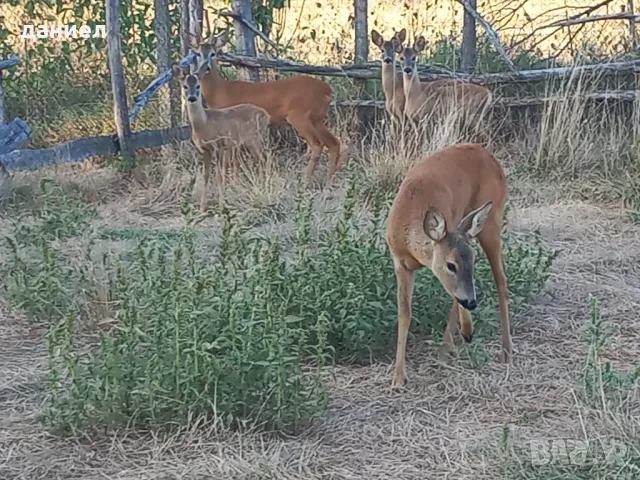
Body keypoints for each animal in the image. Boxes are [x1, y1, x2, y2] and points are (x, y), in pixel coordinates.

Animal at [171, 59, 268, 210]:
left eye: (198, 86)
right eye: (185, 86)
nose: (192, 98)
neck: (205, 124)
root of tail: (267, 115)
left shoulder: (219, 146)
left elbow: (219, 176)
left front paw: (222, 205)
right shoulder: (204, 150)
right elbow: (206, 176)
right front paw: (202, 207)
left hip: (254, 139)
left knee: (263, 159)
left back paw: (263, 187)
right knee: (263, 159)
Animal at [195, 30, 344, 184]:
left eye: (213, 53)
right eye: (197, 53)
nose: (204, 68)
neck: (220, 91)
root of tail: (327, 90)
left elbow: (231, 160)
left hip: (299, 116)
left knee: (317, 144)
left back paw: (305, 180)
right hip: (317, 119)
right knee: (334, 143)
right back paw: (329, 181)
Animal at [384, 144, 516, 388]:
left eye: (472, 260)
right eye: (451, 265)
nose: (472, 302)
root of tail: (491, 157)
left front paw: (462, 334)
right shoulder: (399, 262)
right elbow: (404, 314)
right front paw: (398, 377)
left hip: (491, 219)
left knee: (501, 280)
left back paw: (504, 350)